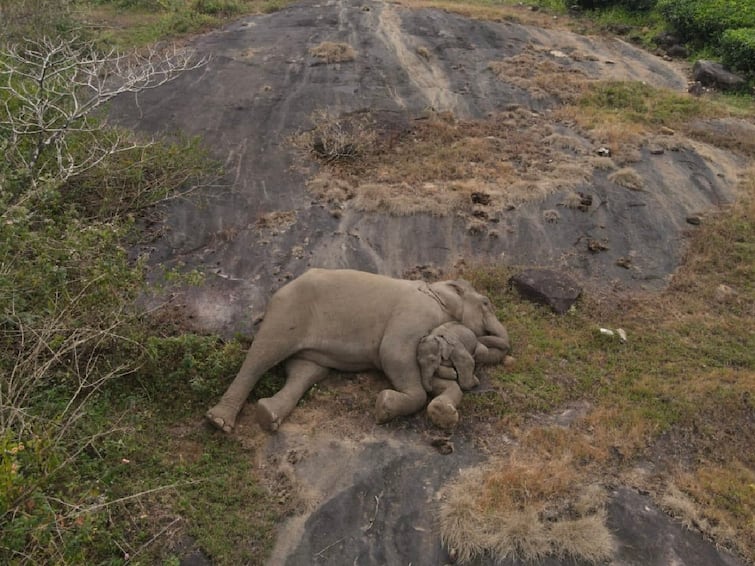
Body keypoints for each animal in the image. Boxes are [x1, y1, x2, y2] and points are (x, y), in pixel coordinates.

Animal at [208, 268, 508, 432]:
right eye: (486, 303)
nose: (474, 382)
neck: (436, 288)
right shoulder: (414, 313)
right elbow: (394, 353)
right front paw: (384, 406)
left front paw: (443, 412)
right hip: (288, 312)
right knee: (262, 355)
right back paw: (219, 422)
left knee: (305, 371)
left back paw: (267, 415)